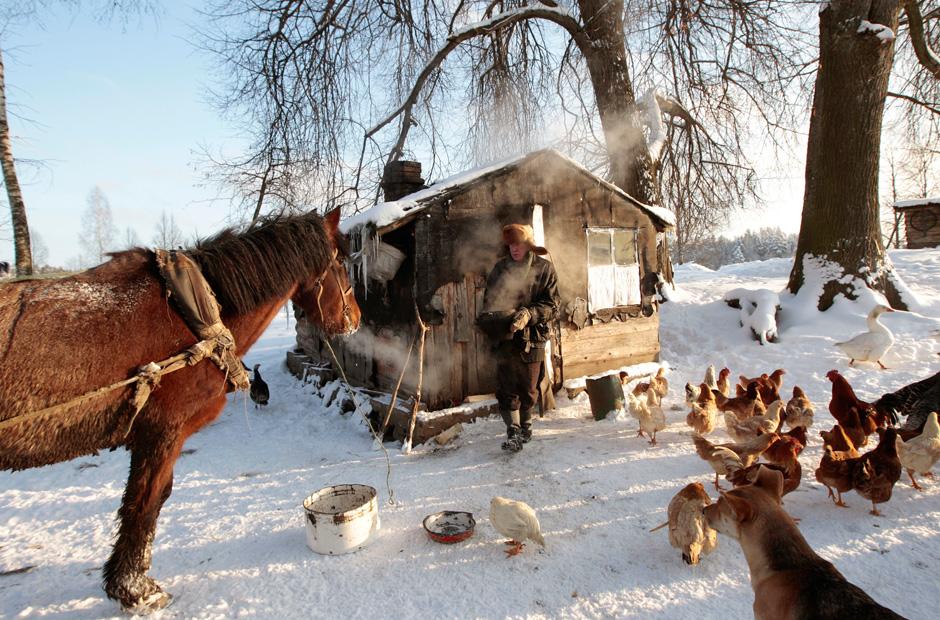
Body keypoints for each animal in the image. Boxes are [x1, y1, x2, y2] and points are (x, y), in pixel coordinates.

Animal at [0, 207, 360, 612]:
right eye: (342, 263)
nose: (356, 319)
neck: (190, 317)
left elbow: (149, 502)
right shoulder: (162, 432)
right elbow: (145, 504)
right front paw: (134, 589)